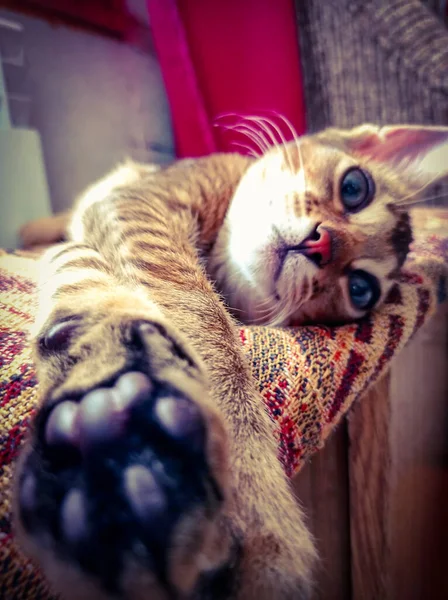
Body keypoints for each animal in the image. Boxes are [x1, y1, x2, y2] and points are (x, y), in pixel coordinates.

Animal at [14, 123, 448, 600]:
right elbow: (204, 321)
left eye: (360, 289)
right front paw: (263, 513)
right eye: (355, 187)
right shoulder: (136, 209)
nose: (322, 244)